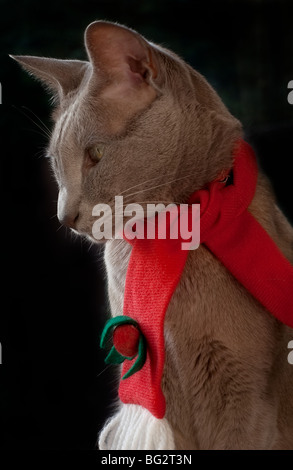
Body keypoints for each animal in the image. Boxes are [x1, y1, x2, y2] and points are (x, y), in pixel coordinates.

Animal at [12, 22, 292, 452]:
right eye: (55, 164)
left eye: (95, 154)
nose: (64, 216)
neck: (167, 234)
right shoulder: (166, 394)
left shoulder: (247, 394)